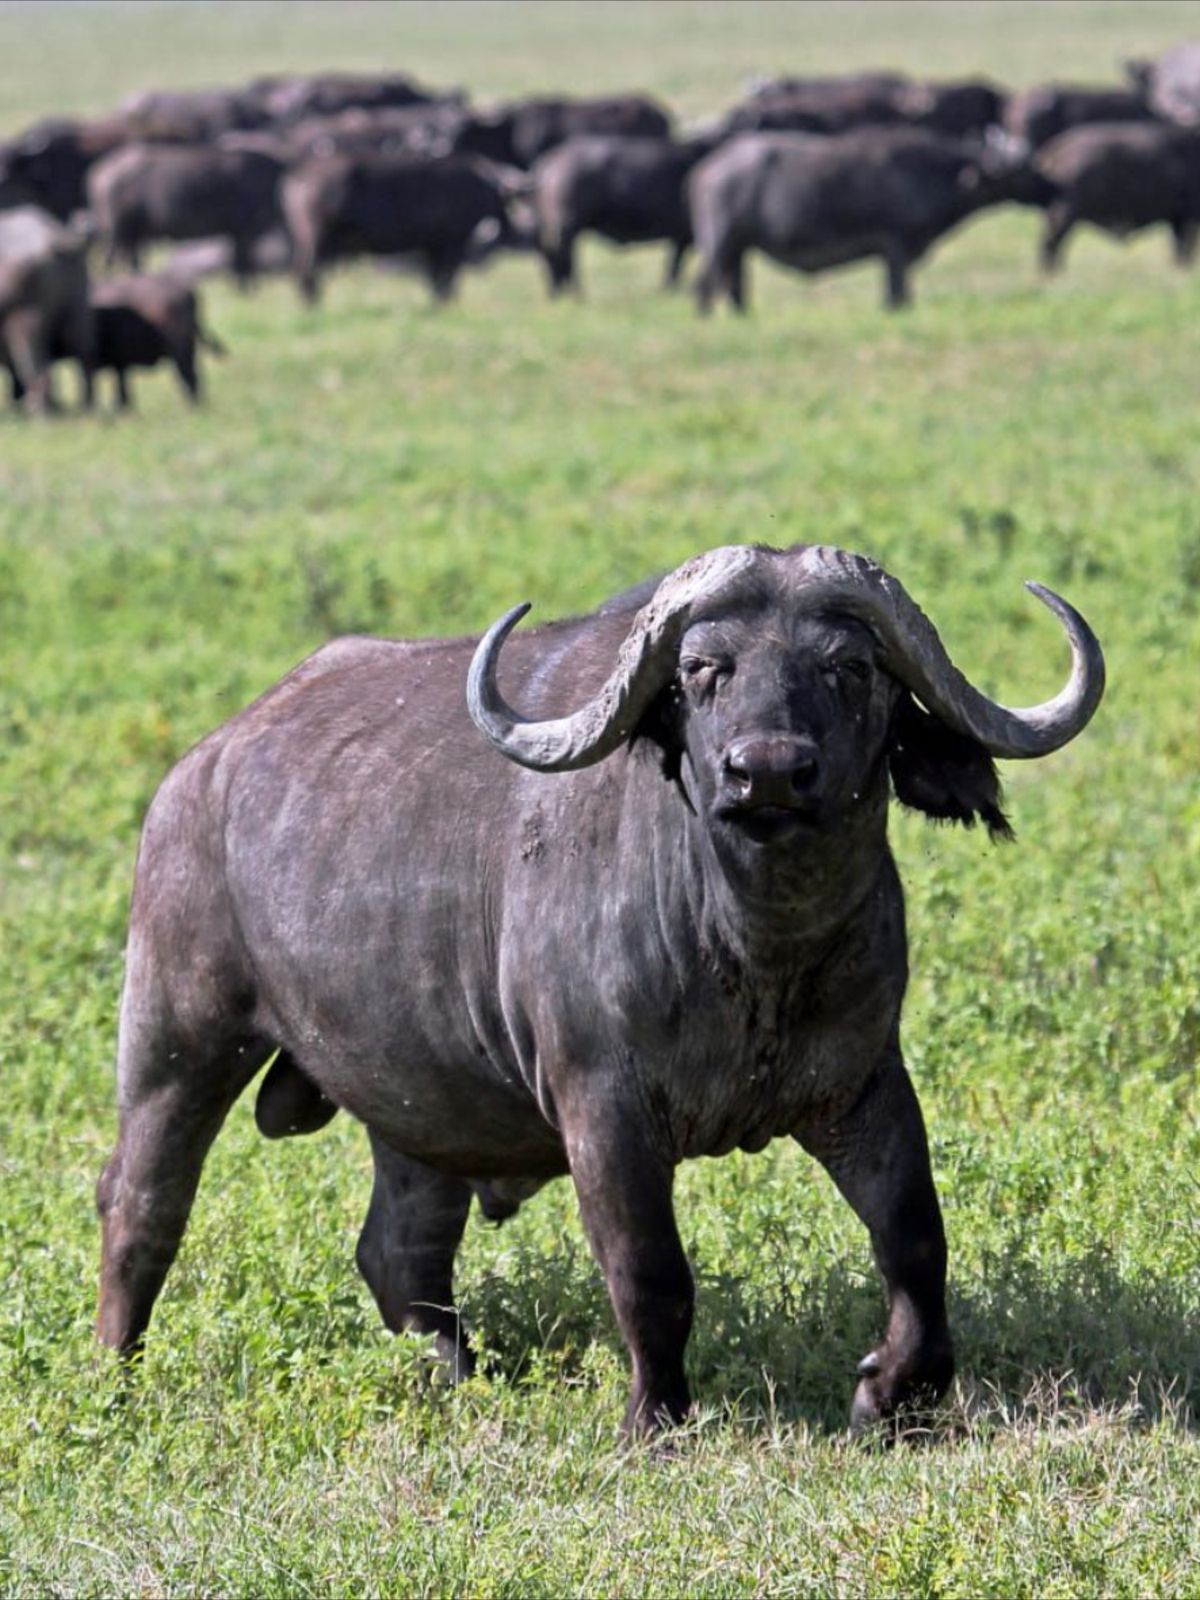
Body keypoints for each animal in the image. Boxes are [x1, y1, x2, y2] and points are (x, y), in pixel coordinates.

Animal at [95, 544, 1104, 1436]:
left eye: (849, 665)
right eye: (702, 668)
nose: (768, 771)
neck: (754, 952)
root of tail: (197, 770)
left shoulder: (863, 1085)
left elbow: (917, 1242)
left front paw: (893, 1393)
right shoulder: (604, 1110)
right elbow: (650, 1272)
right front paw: (655, 1420)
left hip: (419, 1107)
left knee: (400, 1252)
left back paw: (460, 1376)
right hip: (178, 1037)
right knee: (141, 1204)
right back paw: (116, 1377)